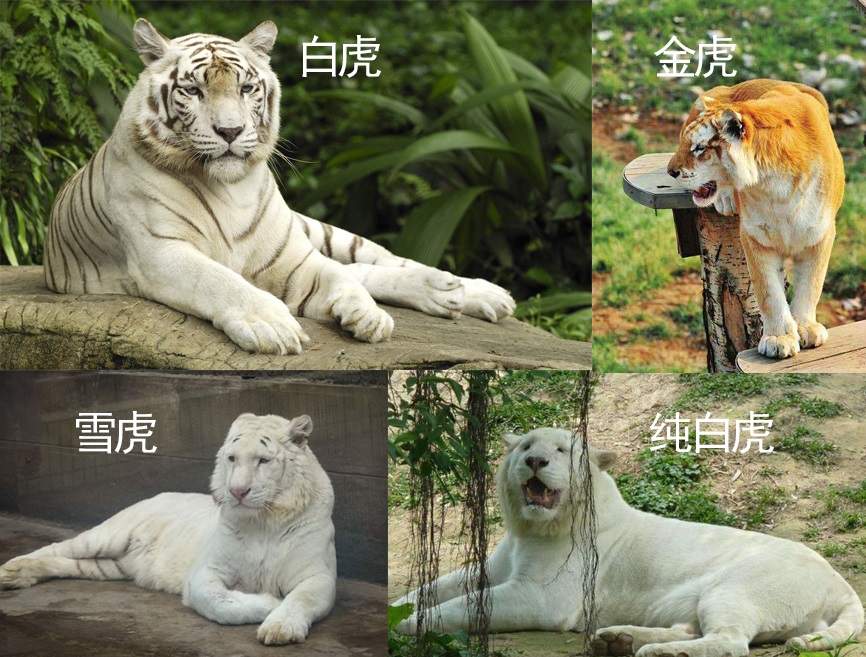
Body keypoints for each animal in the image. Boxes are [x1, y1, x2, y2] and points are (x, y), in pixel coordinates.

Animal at [0, 413, 337, 646]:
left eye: (264, 460)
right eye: (232, 458)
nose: (237, 491)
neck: (264, 520)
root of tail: (154, 495)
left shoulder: (317, 574)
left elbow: (301, 598)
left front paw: (279, 628)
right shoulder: (206, 570)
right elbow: (219, 601)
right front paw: (269, 603)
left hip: (108, 567)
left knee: (68, 563)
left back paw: (16, 577)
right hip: (108, 535)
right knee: (56, 547)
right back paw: (10, 571)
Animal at [44, 19, 515, 355]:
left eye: (246, 87)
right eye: (193, 90)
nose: (230, 131)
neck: (229, 189)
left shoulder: (292, 258)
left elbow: (338, 276)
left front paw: (366, 315)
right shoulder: (161, 253)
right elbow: (219, 280)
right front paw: (272, 325)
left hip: (318, 231)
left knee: (374, 262)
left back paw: (467, 291)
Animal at [667, 79, 844, 359]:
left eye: (699, 148)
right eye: (685, 144)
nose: (670, 171)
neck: (773, 185)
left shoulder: (819, 234)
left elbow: (811, 285)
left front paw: (805, 328)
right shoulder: (756, 237)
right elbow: (769, 292)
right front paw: (779, 338)